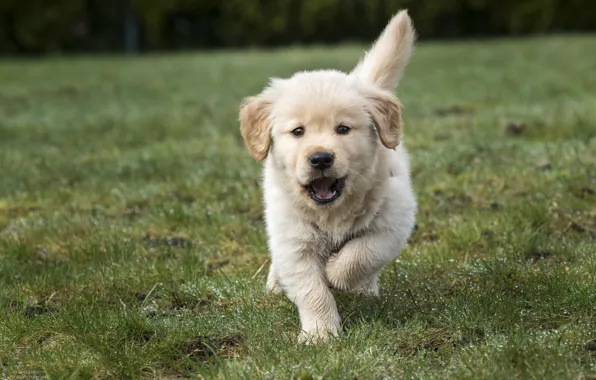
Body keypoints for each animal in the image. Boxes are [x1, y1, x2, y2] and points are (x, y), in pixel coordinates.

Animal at [240, 10, 416, 342]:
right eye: (298, 131)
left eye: (343, 129)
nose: (321, 158)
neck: (332, 212)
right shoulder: (293, 241)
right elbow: (312, 290)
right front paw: (320, 335)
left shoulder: (393, 220)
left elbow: (362, 253)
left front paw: (336, 274)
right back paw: (276, 284)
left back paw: (364, 289)